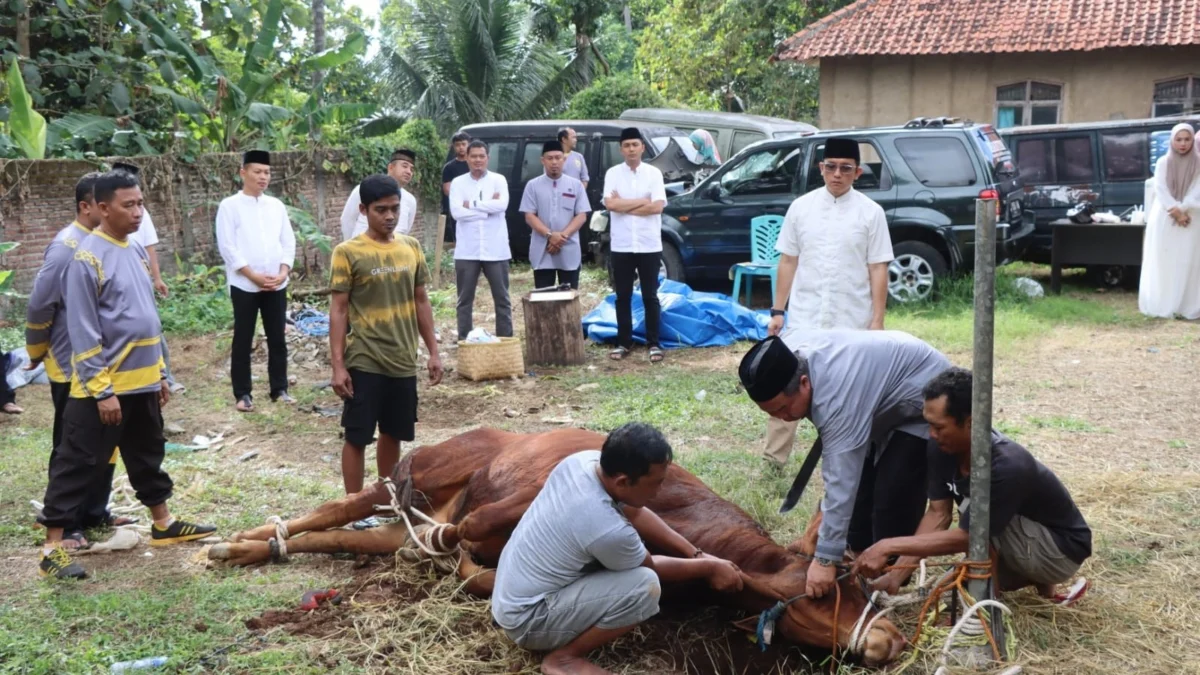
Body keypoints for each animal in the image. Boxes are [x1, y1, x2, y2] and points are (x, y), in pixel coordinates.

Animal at [208, 427, 902, 662]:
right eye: (826, 592)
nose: (892, 640)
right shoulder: (518, 502)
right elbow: (470, 545)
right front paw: (454, 553)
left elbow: (469, 564)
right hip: (419, 473)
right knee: (340, 507)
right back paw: (236, 543)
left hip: (398, 513)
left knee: (352, 533)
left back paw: (253, 548)